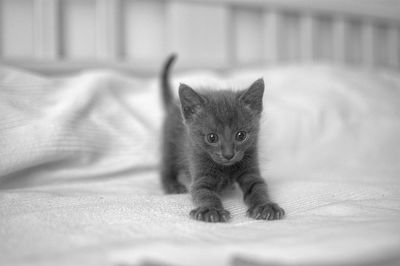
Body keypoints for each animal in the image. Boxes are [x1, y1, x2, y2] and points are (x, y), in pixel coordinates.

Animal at [159, 54, 284, 222]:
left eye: (241, 135)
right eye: (212, 137)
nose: (228, 154)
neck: (226, 169)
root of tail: (174, 103)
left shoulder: (250, 168)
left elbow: (258, 187)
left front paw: (265, 206)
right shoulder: (199, 171)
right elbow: (205, 193)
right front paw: (211, 210)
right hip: (169, 145)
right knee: (166, 167)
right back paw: (173, 185)